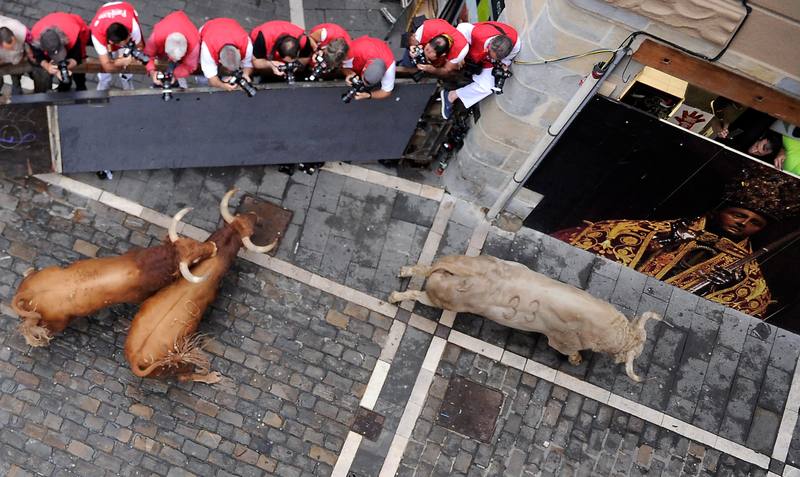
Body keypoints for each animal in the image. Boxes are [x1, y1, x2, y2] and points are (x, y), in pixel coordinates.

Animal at [10, 208, 217, 346]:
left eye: (192, 241)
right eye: (195, 259)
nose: (214, 246)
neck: (150, 264)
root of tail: (26, 294)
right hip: (56, 323)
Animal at [123, 190, 276, 384]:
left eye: (242, 217)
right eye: (252, 230)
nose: (255, 215)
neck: (218, 257)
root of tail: (137, 360)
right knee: (184, 376)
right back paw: (211, 376)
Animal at [390, 255, 664, 382]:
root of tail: (462, 270)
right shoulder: (561, 342)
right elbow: (570, 352)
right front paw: (576, 361)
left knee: (422, 268)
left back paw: (403, 271)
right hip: (441, 300)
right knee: (415, 293)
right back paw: (394, 297)